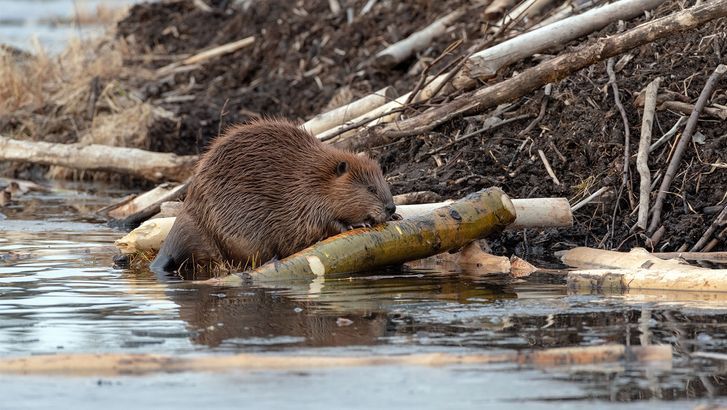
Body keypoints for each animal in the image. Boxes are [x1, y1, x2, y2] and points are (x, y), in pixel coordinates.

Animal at [151, 119, 396, 273]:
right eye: (371, 189)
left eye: (384, 184)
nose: (391, 207)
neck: (316, 177)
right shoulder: (305, 199)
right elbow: (319, 224)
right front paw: (356, 224)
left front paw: (396, 217)